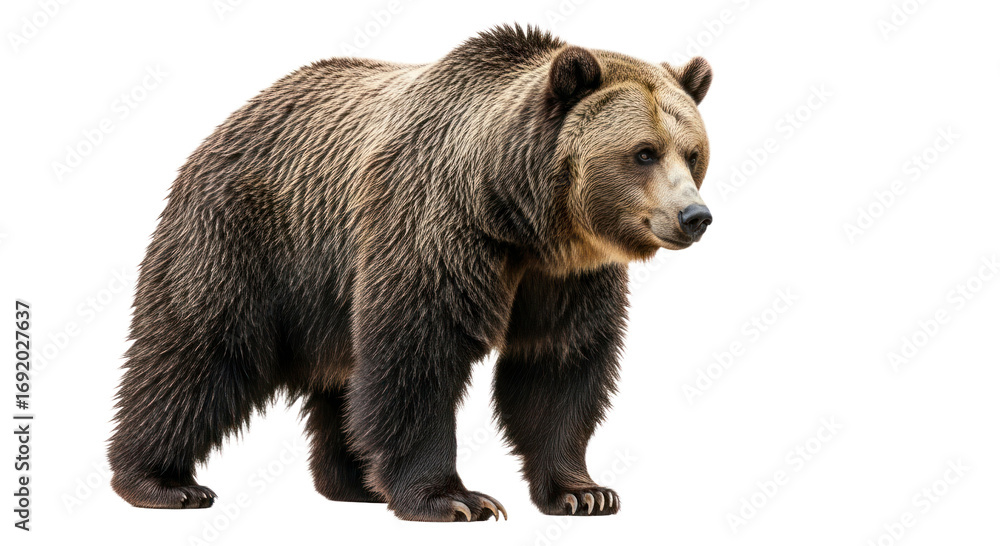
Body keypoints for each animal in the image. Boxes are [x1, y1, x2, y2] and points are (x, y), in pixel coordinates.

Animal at [108, 24, 713, 522]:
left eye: (693, 152)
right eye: (644, 152)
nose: (695, 216)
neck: (521, 216)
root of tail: (232, 117)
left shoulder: (564, 278)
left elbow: (557, 365)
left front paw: (584, 492)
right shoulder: (435, 228)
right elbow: (417, 353)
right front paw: (454, 499)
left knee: (342, 381)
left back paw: (355, 482)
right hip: (249, 238)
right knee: (196, 350)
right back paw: (162, 482)